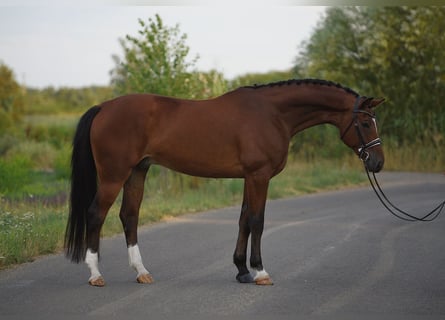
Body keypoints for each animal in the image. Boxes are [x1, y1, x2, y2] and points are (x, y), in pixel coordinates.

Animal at [64, 79, 384, 286]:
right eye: (365, 123)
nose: (377, 163)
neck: (272, 114)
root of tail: (103, 107)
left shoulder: (248, 177)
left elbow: (244, 220)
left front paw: (242, 270)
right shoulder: (259, 176)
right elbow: (257, 221)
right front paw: (260, 272)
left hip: (137, 173)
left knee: (129, 216)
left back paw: (141, 272)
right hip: (113, 175)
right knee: (95, 214)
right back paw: (95, 275)